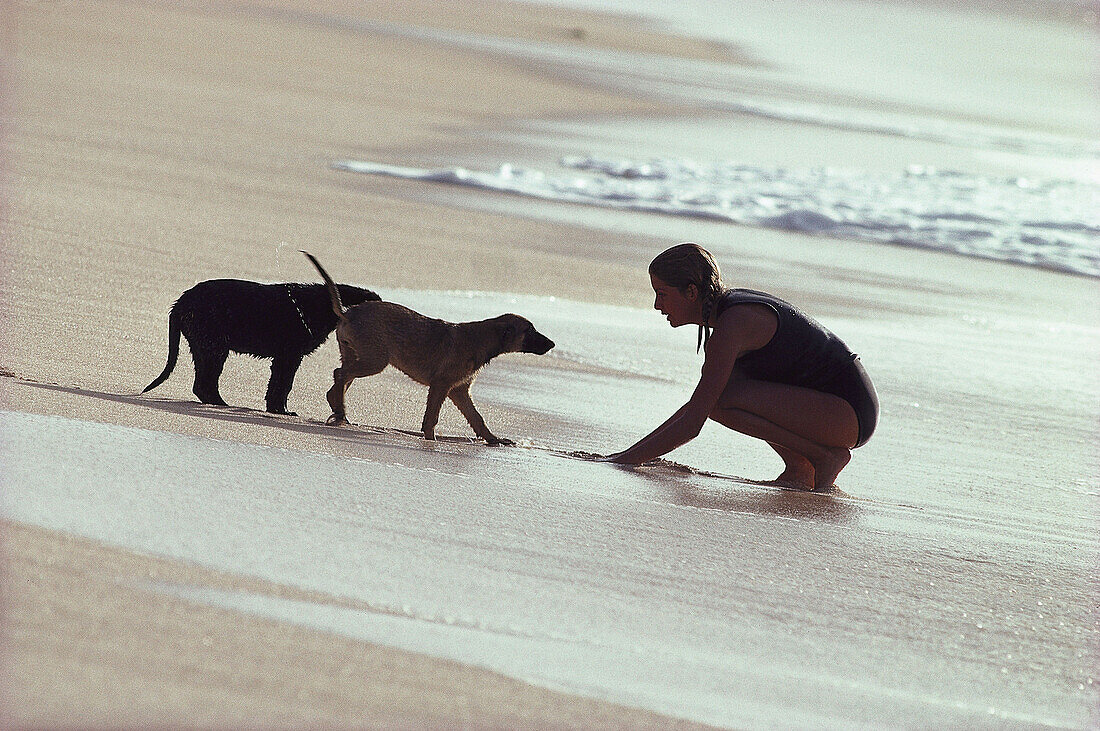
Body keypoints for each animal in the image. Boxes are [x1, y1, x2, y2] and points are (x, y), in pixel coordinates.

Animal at [144, 278, 380, 413]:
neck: (320, 305)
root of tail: (180, 303)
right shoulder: (290, 356)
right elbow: (283, 385)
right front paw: (281, 411)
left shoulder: (285, 357)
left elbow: (277, 385)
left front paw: (275, 409)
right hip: (213, 348)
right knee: (205, 383)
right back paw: (222, 405)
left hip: (204, 347)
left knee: (202, 384)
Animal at [301, 250, 554, 444]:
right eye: (529, 331)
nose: (552, 344)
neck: (480, 338)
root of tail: (348, 312)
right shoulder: (442, 385)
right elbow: (432, 416)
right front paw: (431, 440)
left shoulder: (459, 390)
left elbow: (477, 418)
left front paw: (493, 439)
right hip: (374, 360)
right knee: (340, 375)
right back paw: (340, 411)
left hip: (358, 355)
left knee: (341, 379)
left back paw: (338, 410)